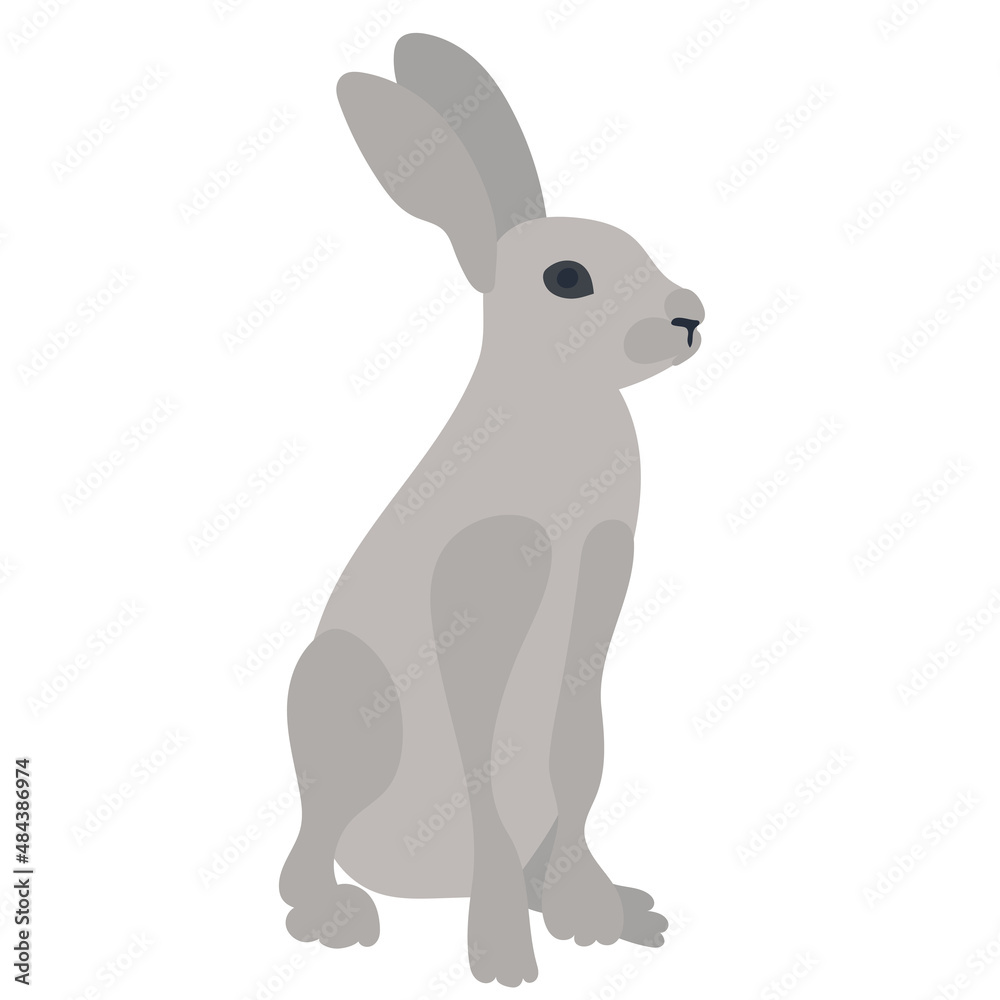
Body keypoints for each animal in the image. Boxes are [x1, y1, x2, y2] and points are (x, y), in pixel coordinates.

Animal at [279, 33, 705, 987]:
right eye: (568, 278)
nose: (690, 317)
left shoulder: (599, 575)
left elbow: (578, 753)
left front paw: (590, 914)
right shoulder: (478, 589)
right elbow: (486, 769)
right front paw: (502, 954)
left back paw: (614, 912)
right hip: (344, 698)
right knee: (311, 840)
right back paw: (331, 916)